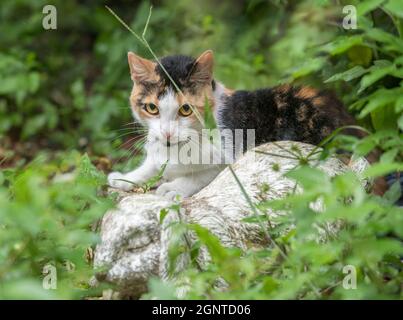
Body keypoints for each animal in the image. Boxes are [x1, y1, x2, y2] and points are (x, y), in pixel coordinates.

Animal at [108, 49, 362, 198]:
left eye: (186, 109)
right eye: (152, 108)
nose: (167, 133)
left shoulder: (229, 155)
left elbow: (201, 175)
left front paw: (173, 187)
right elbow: (152, 164)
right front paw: (125, 178)